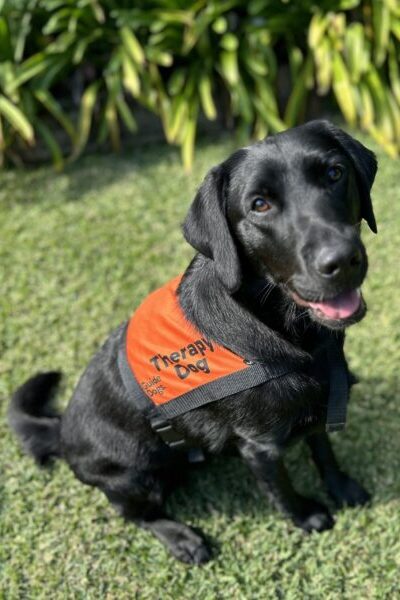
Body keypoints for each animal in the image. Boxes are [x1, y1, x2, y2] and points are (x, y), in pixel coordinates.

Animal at [10, 119, 378, 564]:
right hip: (135, 475)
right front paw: (307, 516)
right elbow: (282, 489)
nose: (341, 260)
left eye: (335, 173)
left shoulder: (321, 404)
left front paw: (342, 487)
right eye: (259, 204)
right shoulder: (260, 447)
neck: (288, 331)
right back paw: (182, 538)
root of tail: (61, 429)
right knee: (137, 515)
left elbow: (324, 451)